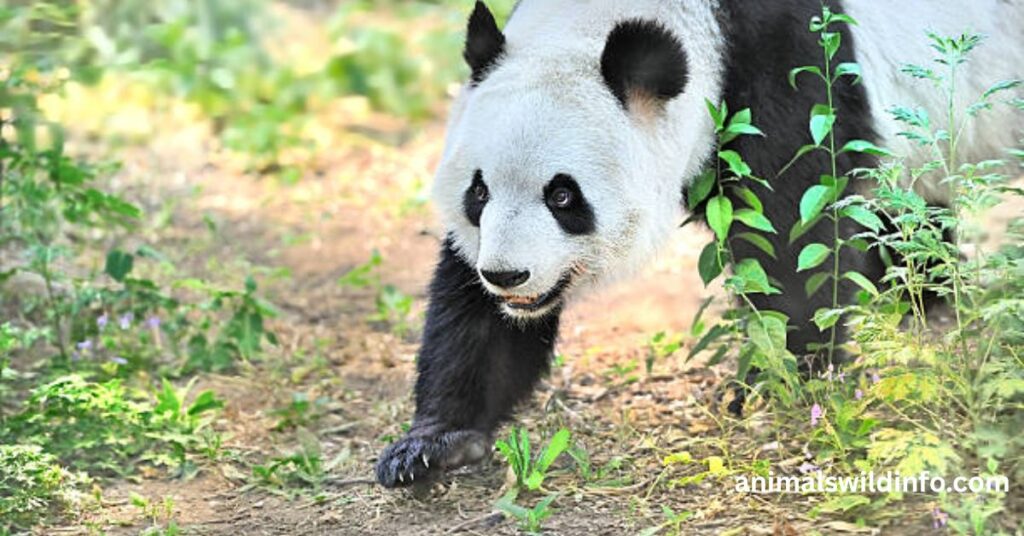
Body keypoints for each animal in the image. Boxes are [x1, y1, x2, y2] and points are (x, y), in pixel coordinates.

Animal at [375, 0, 1023, 488]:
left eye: (562, 196)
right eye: (478, 192)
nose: (508, 277)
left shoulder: (786, 67)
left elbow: (794, 229)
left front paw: (776, 379)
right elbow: (470, 309)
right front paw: (434, 444)